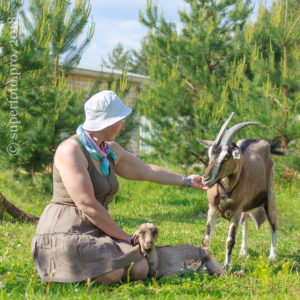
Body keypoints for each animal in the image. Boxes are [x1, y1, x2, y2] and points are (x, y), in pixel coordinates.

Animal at [198, 113, 288, 266]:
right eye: (210, 154)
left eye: (226, 157)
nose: (205, 179)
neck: (226, 191)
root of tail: (266, 144)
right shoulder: (212, 209)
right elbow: (206, 239)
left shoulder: (235, 212)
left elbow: (230, 240)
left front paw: (227, 266)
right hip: (246, 207)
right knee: (245, 221)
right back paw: (243, 252)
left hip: (269, 198)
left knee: (274, 224)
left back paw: (272, 256)